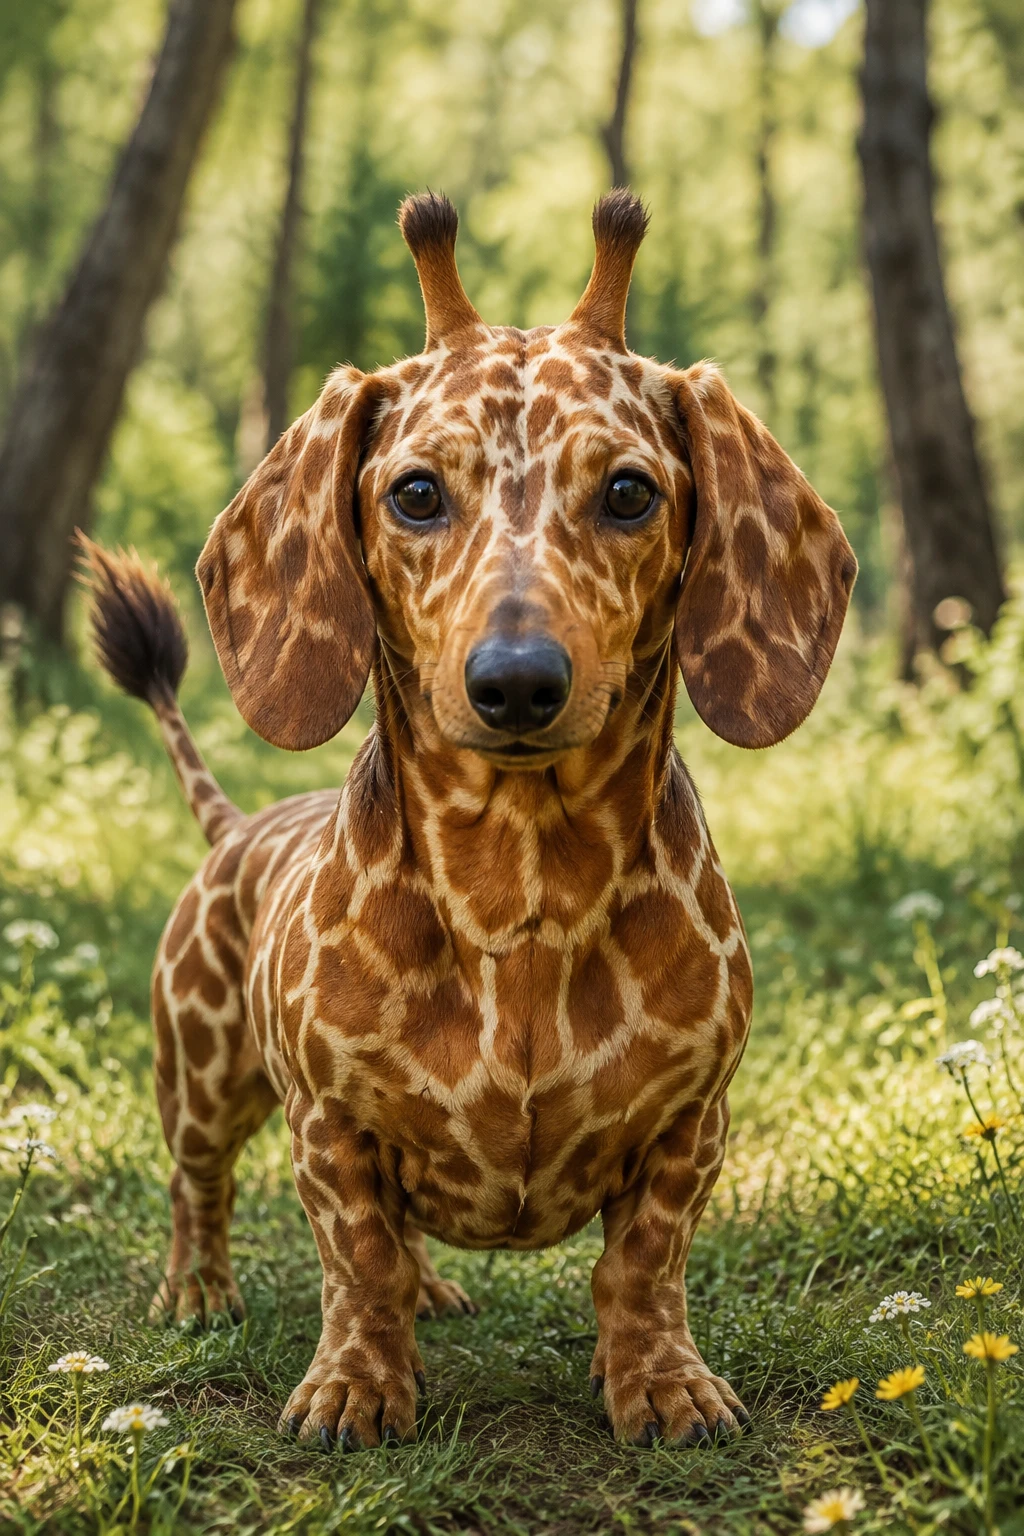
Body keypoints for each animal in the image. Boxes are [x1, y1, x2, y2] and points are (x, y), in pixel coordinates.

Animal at [81, 188, 856, 1452]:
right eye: (415, 492)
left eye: (629, 491)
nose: (516, 683)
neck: (522, 894)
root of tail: (236, 826)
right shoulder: (331, 1127)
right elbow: (357, 1261)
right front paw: (355, 1384)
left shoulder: (690, 1123)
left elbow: (641, 1266)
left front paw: (661, 1380)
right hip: (198, 1072)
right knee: (201, 1188)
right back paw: (198, 1290)